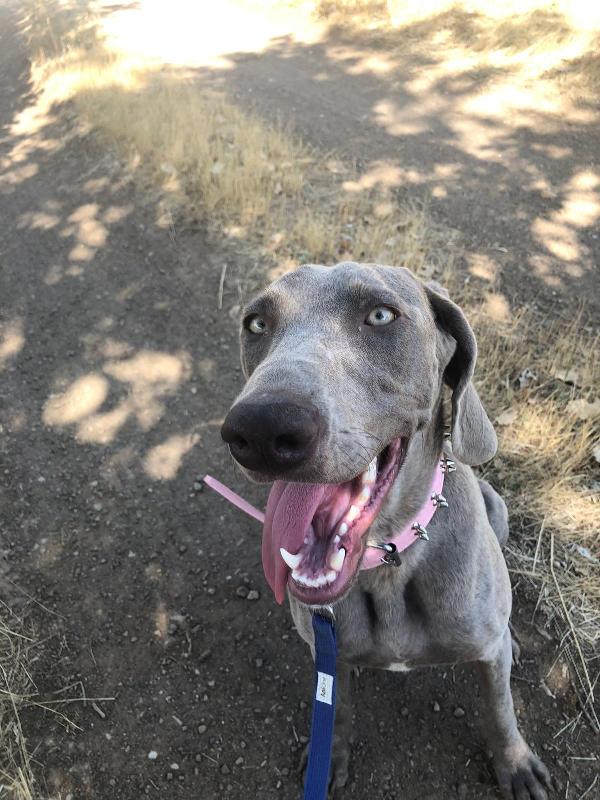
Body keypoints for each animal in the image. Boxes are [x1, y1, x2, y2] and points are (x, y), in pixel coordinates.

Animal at [220, 262, 552, 800]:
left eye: (380, 315)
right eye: (257, 323)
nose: (261, 429)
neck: (389, 558)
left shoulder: (486, 651)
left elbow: (500, 708)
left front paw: (516, 764)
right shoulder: (330, 655)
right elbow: (338, 708)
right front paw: (330, 758)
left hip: (497, 509)